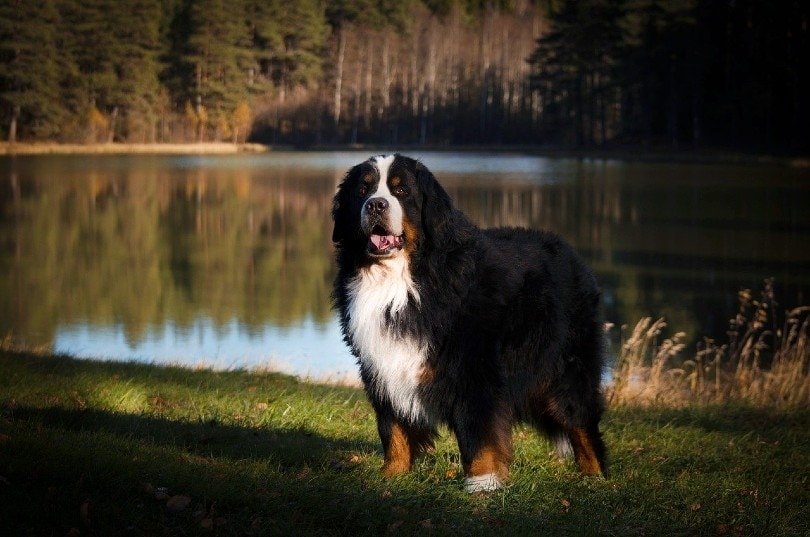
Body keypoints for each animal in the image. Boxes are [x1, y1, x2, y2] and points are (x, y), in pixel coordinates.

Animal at [330, 154, 608, 490]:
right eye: (363, 190)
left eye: (401, 191)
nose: (375, 205)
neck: (400, 279)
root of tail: (571, 252)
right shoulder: (381, 364)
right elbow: (393, 427)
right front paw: (392, 475)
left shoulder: (475, 368)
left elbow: (479, 432)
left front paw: (483, 483)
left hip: (568, 368)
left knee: (580, 421)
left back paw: (595, 479)